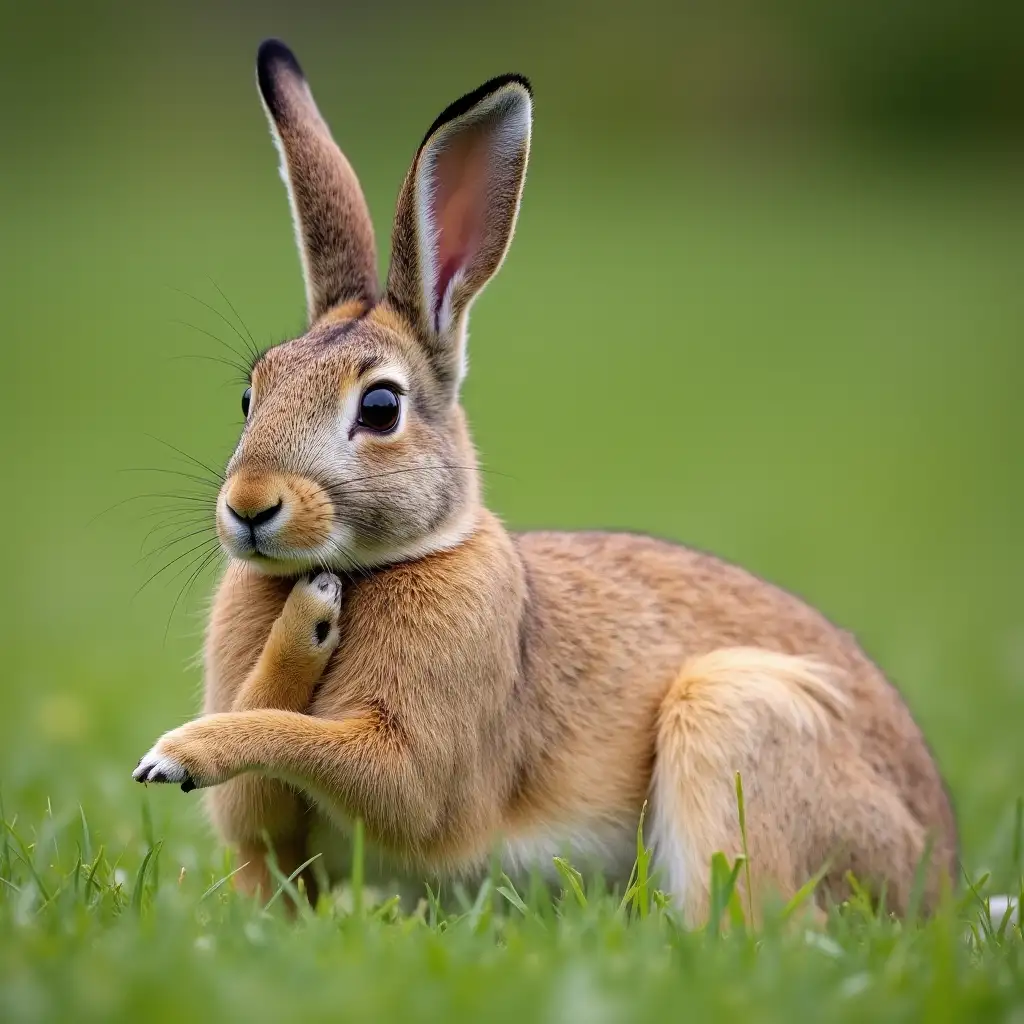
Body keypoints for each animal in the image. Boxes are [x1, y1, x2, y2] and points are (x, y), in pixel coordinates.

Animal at [134, 39, 958, 923]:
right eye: (250, 396)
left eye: (381, 407)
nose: (250, 506)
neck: (378, 565)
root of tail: (934, 874)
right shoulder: (264, 827)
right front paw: (304, 628)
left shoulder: (418, 766)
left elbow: (344, 759)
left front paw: (178, 750)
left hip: (732, 715)